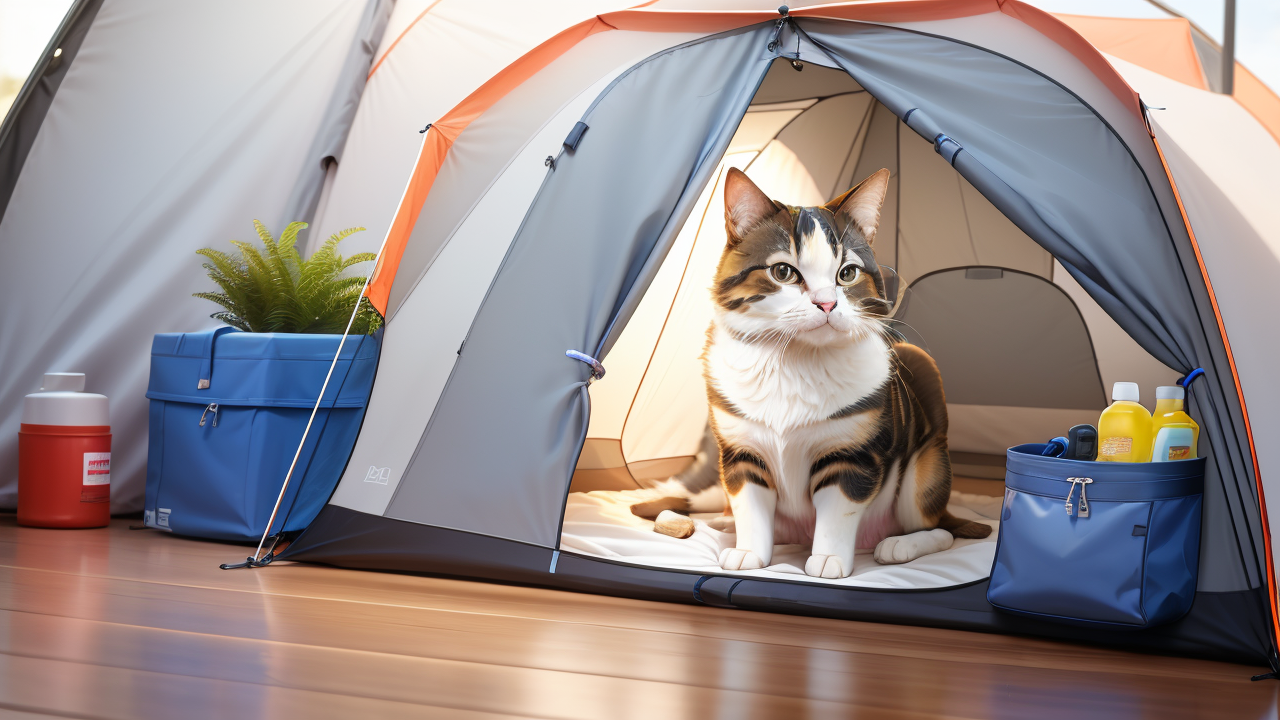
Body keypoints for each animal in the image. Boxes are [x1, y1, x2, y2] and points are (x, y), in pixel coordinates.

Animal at [701, 166, 988, 576]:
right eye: (783, 272)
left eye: (847, 273)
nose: (826, 303)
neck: (793, 361)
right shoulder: (741, 451)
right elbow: (750, 506)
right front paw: (749, 551)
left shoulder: (852, 456)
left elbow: (837, 512)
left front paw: (828, 559)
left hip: (925, 458)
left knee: (940, 528)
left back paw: (900, 544)